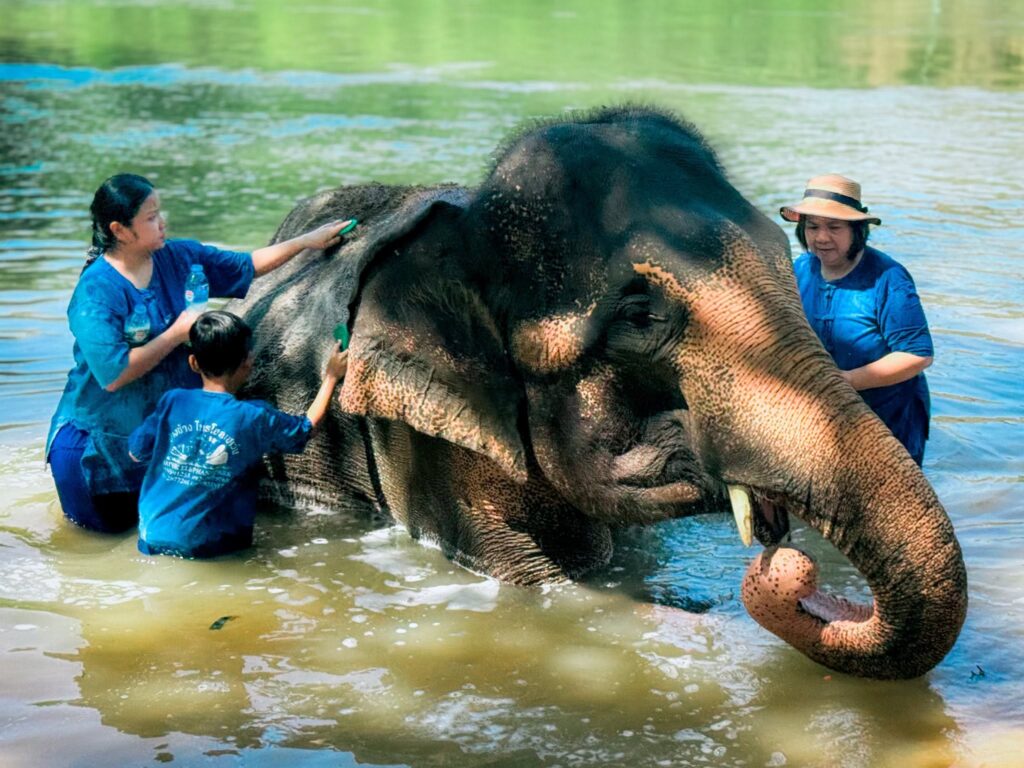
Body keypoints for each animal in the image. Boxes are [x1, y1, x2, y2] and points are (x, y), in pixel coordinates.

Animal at [231, 106, 967, 680]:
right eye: (638, 316)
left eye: (792, 262)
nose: (789, 576)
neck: (467, 231)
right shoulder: (411, 437)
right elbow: (545, 590)